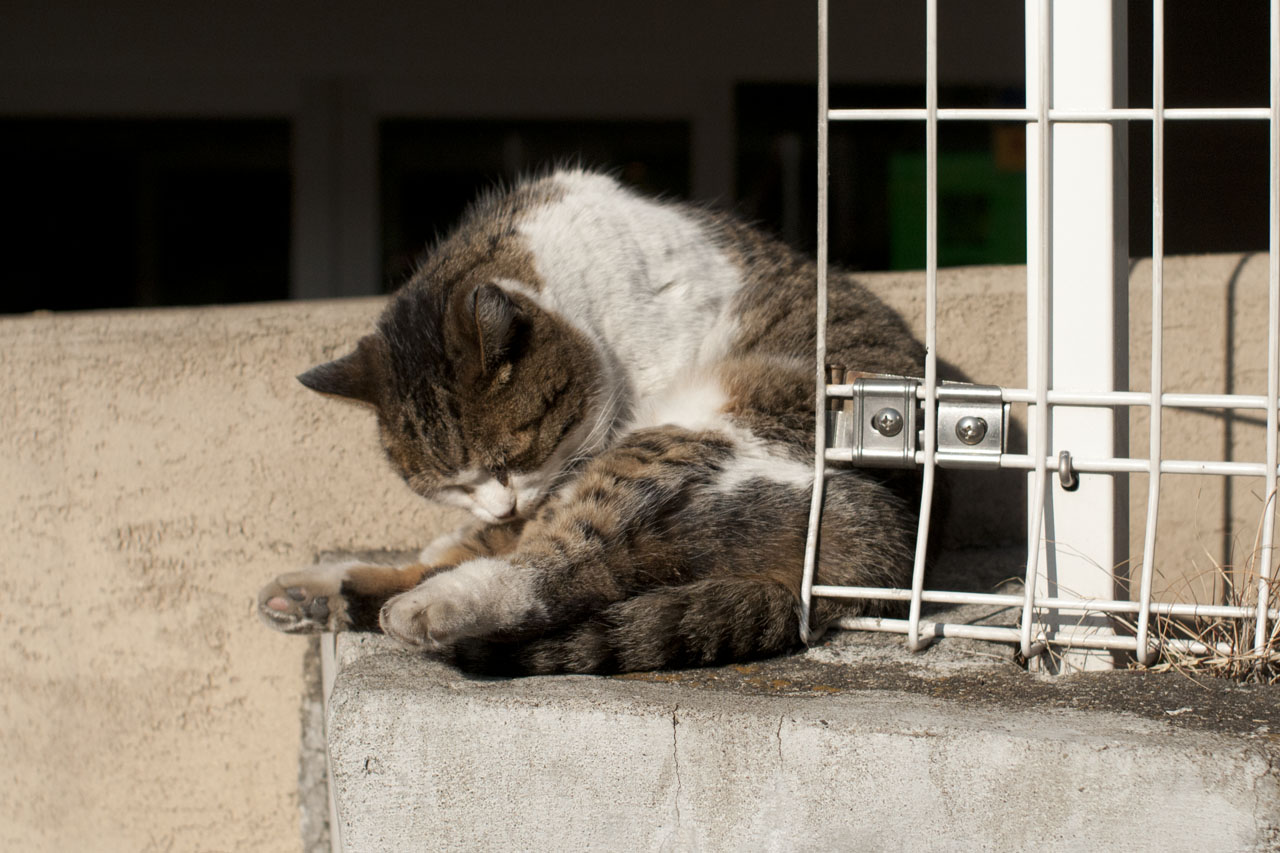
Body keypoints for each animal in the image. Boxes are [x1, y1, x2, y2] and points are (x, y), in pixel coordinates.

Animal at [259, 166, 926, 671]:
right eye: (449, 486)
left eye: (512, 457)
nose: (500, 506)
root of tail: (874, 562)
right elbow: (477, 535)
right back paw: (309, 595)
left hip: (682, 442)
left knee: (560, 568)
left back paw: (425, 607)